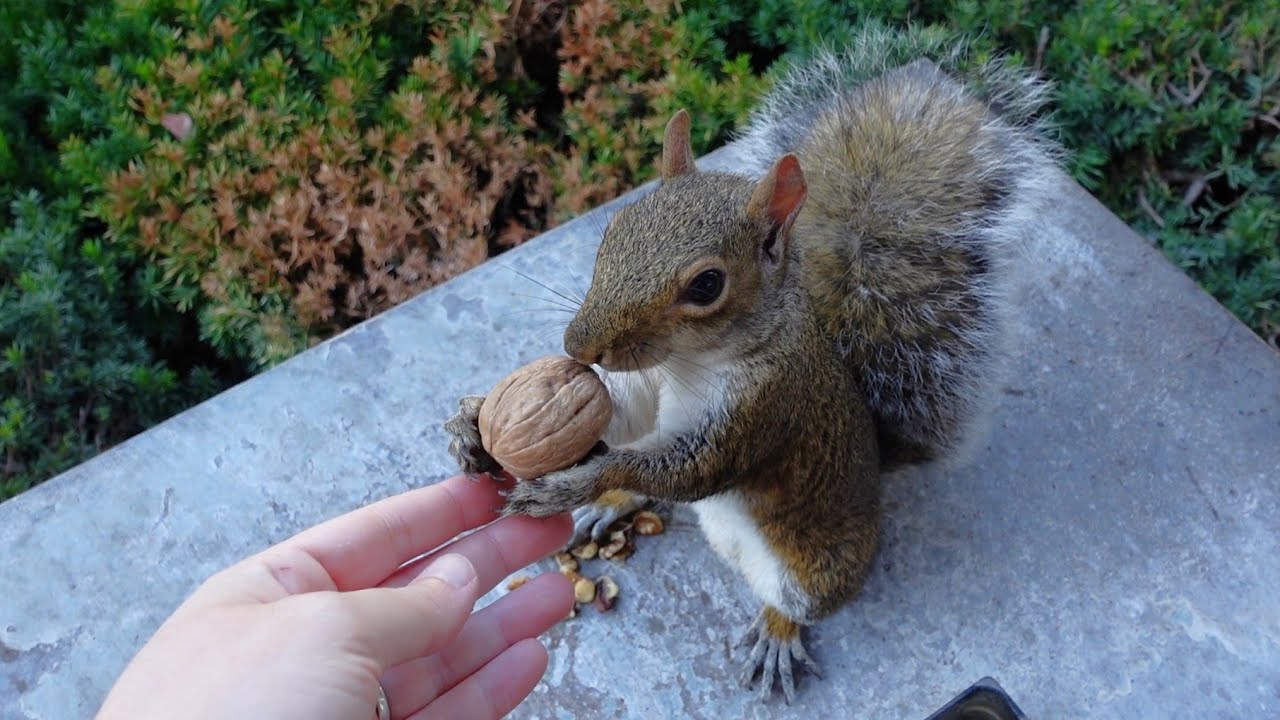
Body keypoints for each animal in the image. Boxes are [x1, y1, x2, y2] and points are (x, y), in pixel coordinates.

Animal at [444, 24, 1060, 704]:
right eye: (614, 229)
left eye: (707, 285)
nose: (580, 346)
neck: (687, 364)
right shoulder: (643, 388)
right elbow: (623, 423)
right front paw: (472, 425)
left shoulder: (764, 409)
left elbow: (689, 468)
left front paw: (575, 482)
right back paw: (616, 504)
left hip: (818, 567)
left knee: (794, 598)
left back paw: (776, 633)